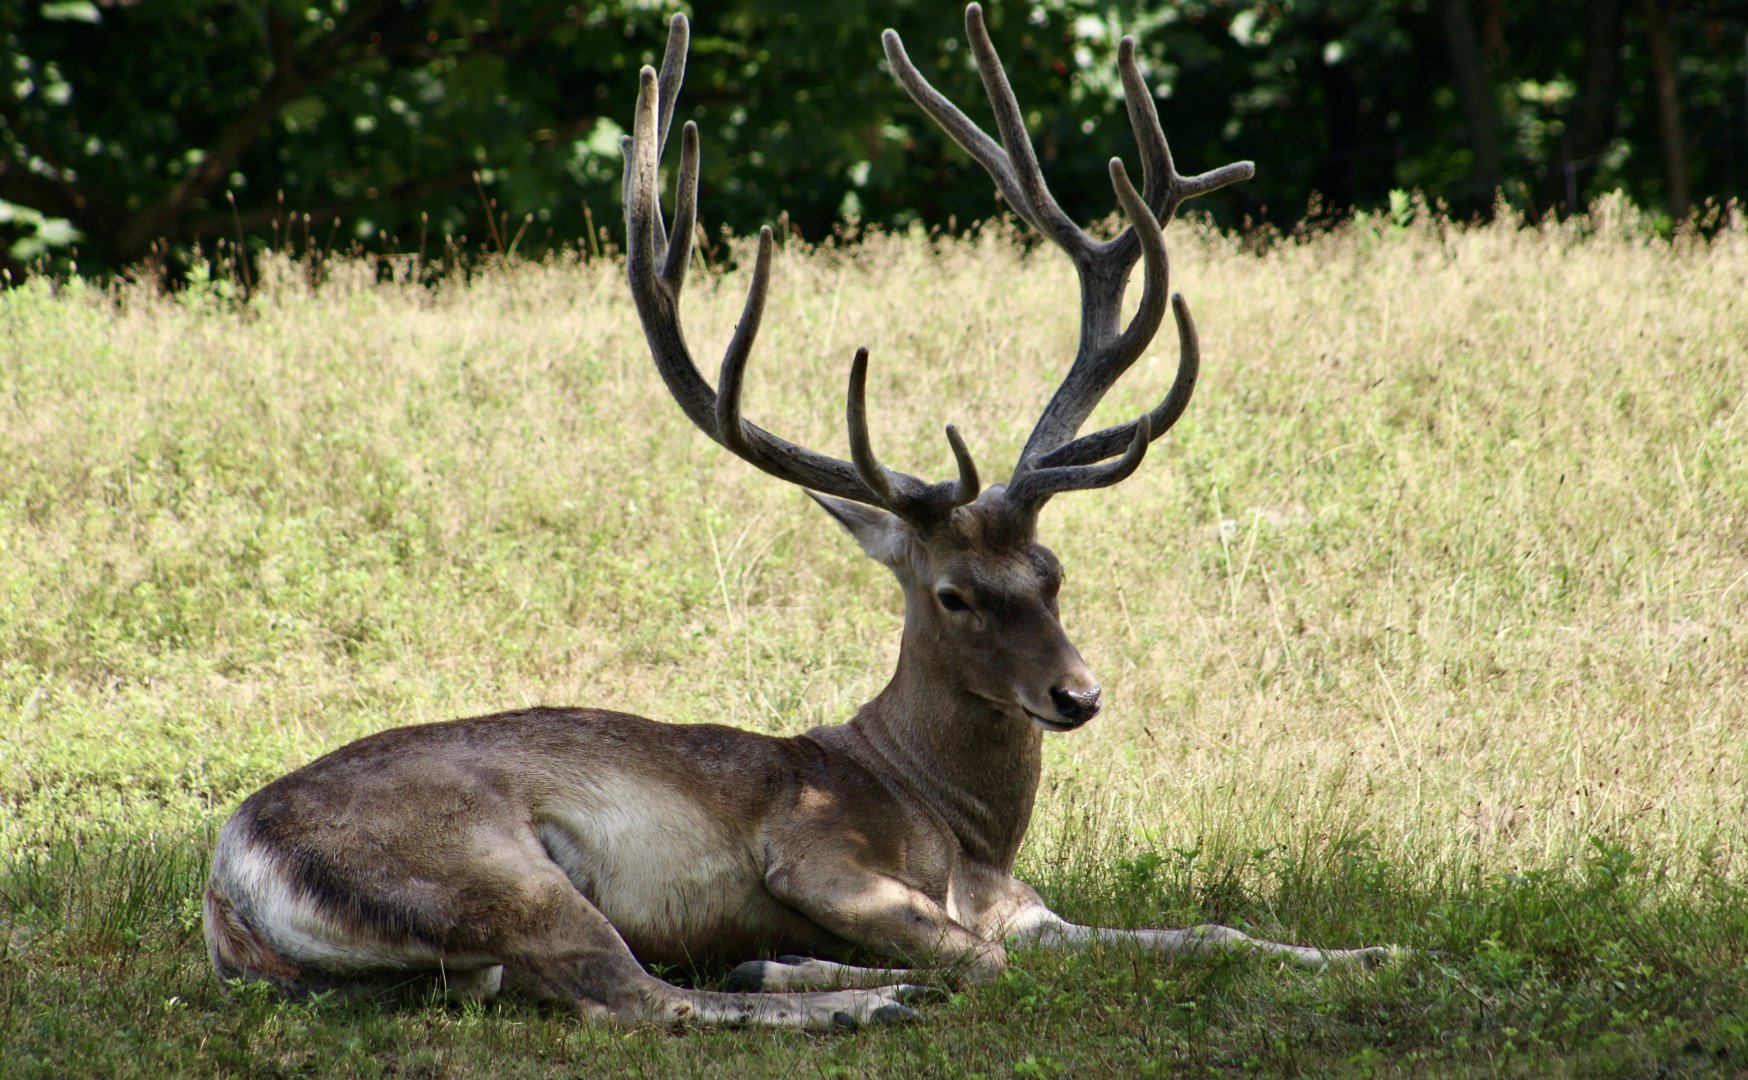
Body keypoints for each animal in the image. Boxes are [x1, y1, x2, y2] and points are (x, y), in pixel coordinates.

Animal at [202, 4, 1389, 1031]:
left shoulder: (1033, 909)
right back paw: (853, 999)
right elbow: (976, 958)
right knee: (636, 998)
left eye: (1053, 571)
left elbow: (1212, 931)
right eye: (954, 595)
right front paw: (805, 962)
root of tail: (228, 873)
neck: (955, 830)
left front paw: (1375, 950)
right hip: (489, 865)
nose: (1077, 694)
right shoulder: (810, 853)